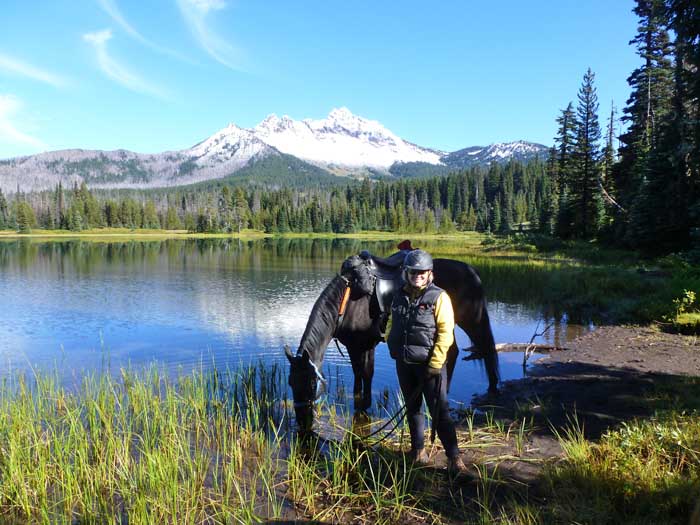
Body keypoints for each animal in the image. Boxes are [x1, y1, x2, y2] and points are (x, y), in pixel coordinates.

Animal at [284, 252, 498, 432]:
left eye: (312, 383)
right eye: (291, 383)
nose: (302, 421)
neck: (346, 302)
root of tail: (472, 271)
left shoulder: (360, 345)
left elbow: (364, 373)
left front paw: (363, 405)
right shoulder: (361, 346)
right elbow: (361, 375)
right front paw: (361, 405)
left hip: (472, 319)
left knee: (487, 348)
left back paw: (492, 389)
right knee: (452, 352)